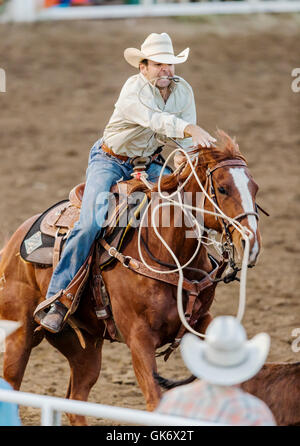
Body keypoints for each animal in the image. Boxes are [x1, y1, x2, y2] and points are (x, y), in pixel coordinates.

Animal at [0, 131, 260, 424]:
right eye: (223, 188)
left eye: (255, 189)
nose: (251, 243)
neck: (169, 254)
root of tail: (11, 246)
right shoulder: (139, 337)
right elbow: (154, 400)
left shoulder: (200, 321)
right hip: (19, 334)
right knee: (13, 384)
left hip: (85, 347)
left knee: (75, 401)